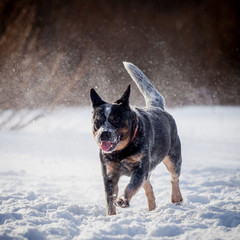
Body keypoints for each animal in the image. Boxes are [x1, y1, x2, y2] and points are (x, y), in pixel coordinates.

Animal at [89, 62, 182, 216]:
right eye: (97, 121)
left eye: (116, 119)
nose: (104, 133)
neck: (121, 152)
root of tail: (157, 107)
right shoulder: (109, 173)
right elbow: (110, 199)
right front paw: (111, 217)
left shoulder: (140, 168)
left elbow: (131, 186)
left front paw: (122, 200)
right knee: (149, 187)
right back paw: (152, 209)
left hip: (173, 157)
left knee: (174, 177)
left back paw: (176, 198)